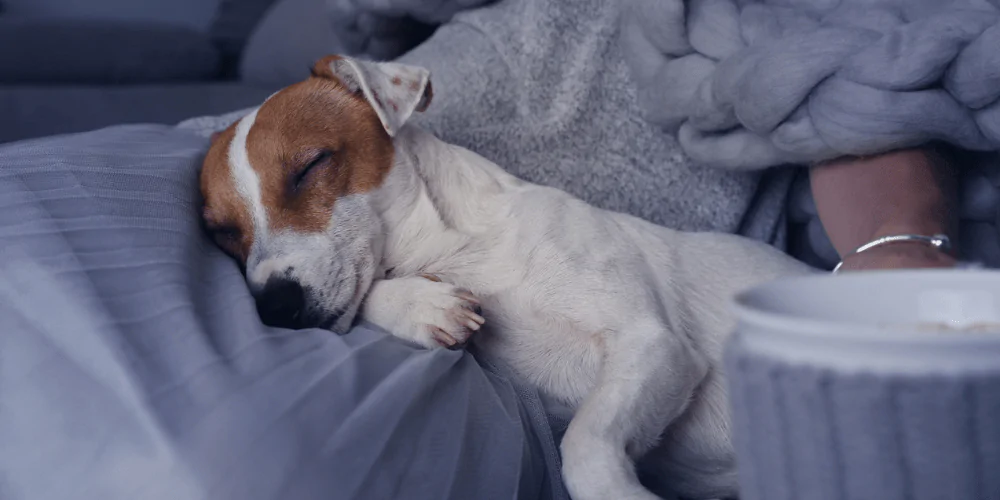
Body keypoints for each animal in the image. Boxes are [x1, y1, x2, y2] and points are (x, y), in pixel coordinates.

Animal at [197, 54, 812, 500]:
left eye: (309, 166)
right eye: (222, 232)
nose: (274, 307)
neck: (456, 249)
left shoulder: (654, 344)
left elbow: (584, 449)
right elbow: (377, 294)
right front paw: (420, 305)